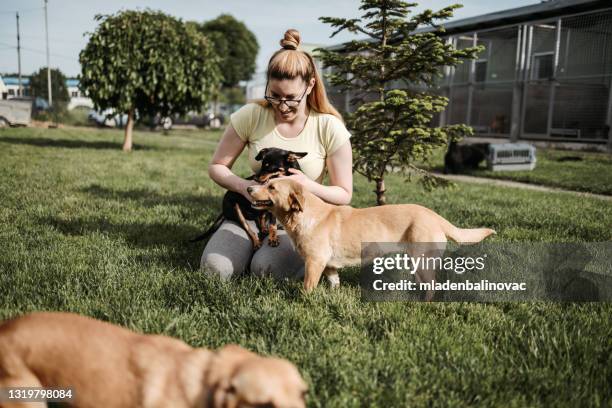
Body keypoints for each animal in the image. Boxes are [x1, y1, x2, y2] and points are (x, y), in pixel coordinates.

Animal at [246, 180, 494, 292]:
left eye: (271, 186)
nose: (248, 188)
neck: (303, 215)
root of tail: (435, 215)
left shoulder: (315, 262)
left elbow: (308, 287)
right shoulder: (329, 266)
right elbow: (334, 283)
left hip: (423, 260)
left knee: (432, 287)